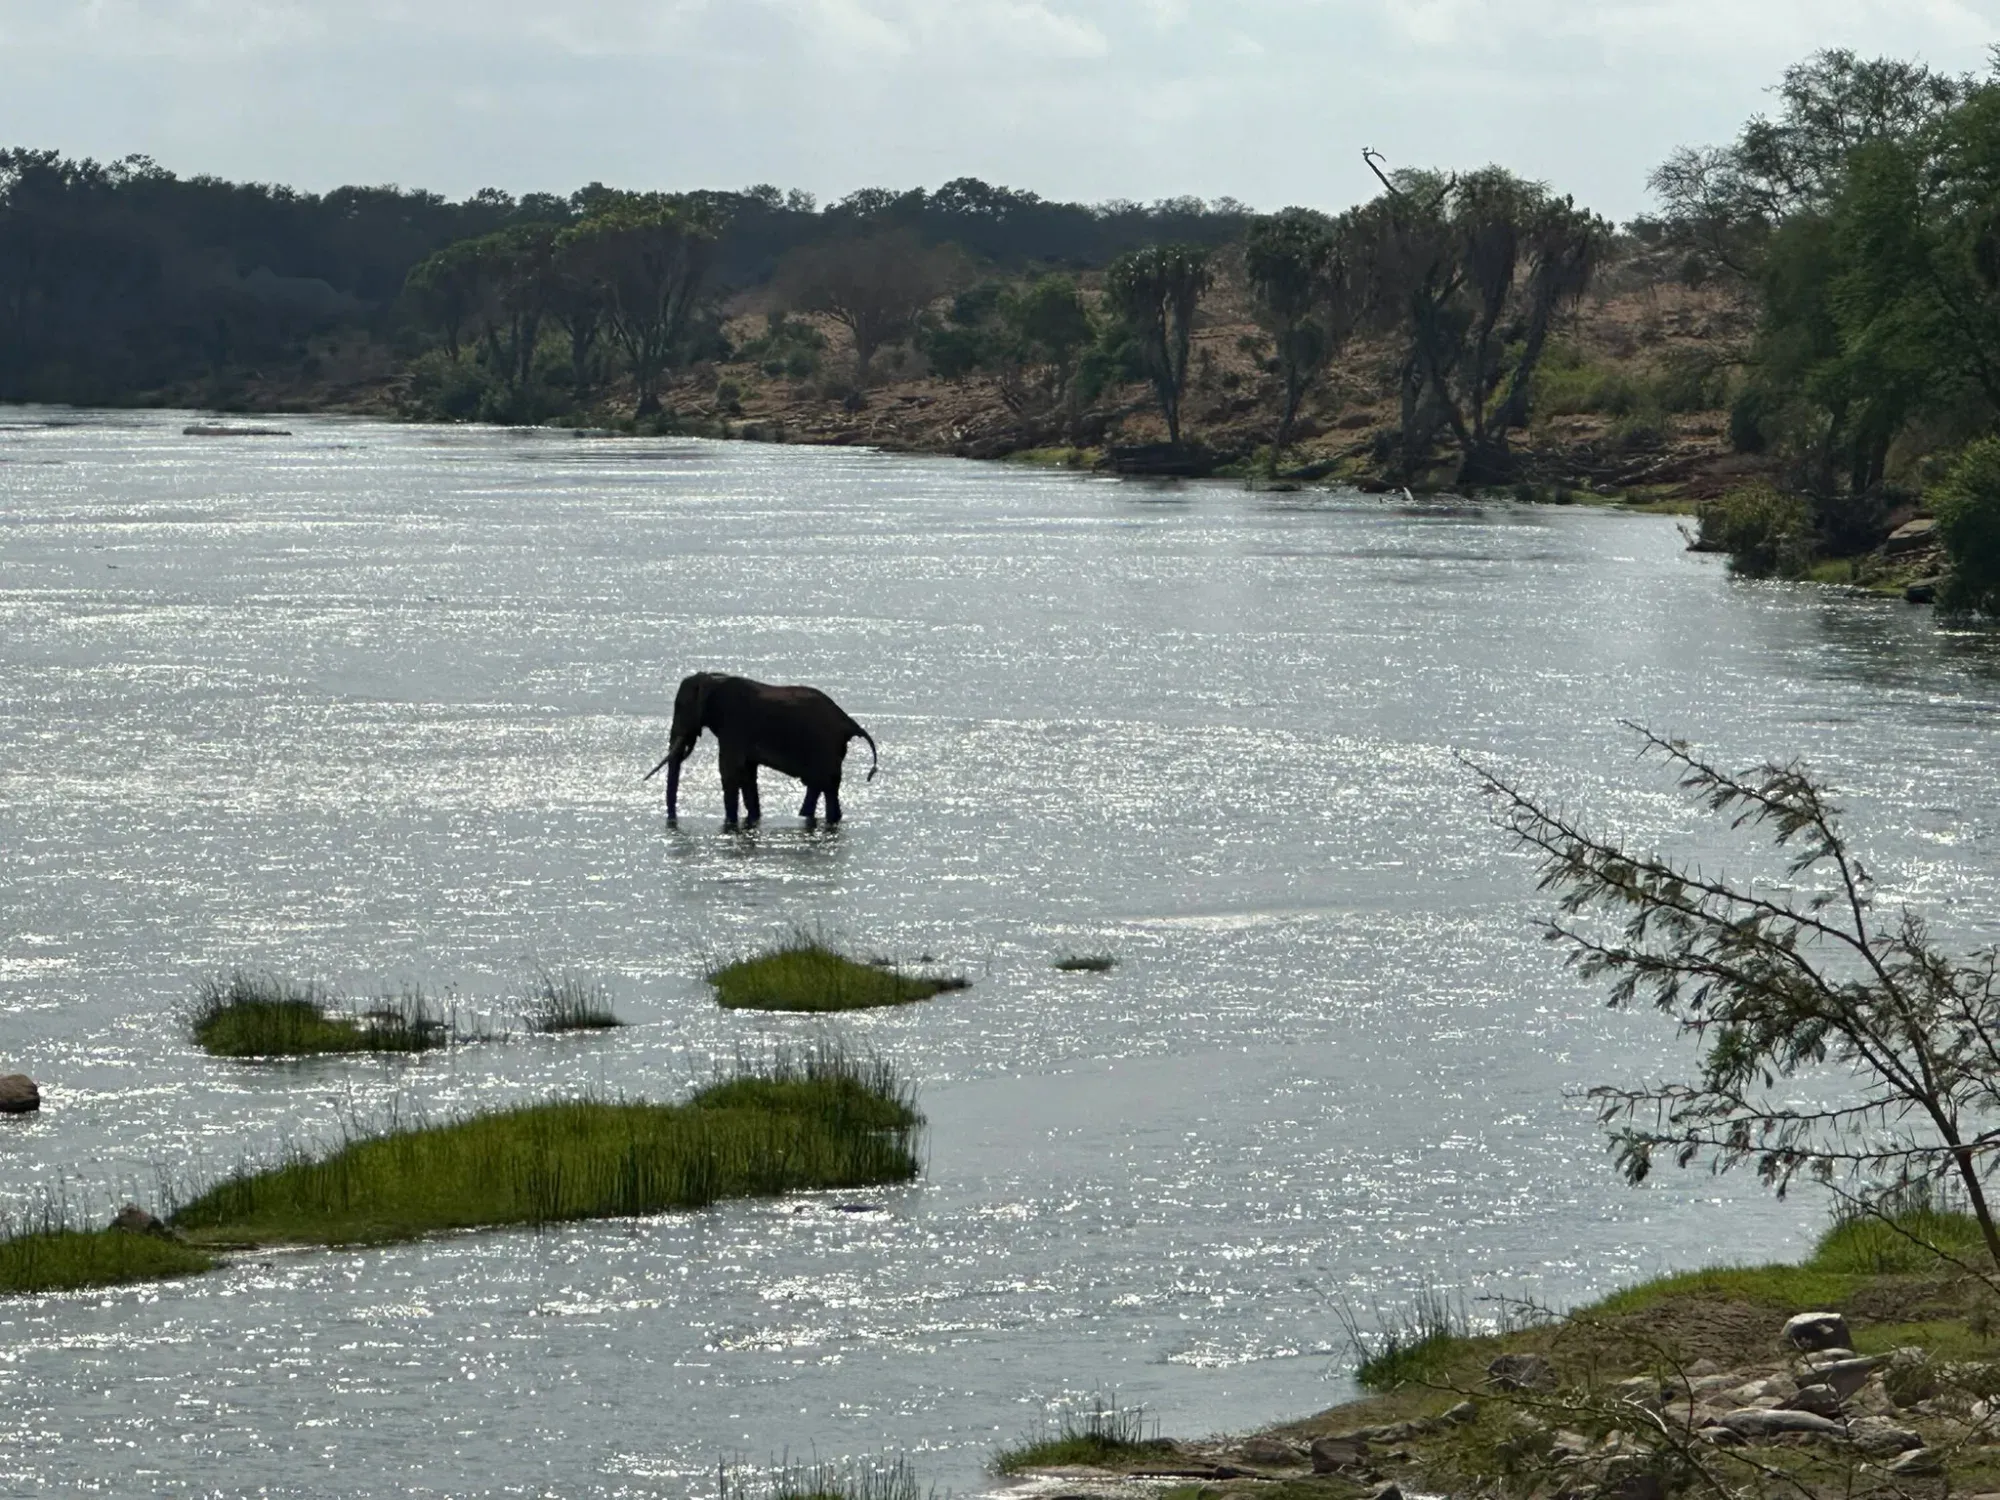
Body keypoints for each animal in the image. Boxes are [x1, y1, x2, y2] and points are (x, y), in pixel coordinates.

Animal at [643, 672, 879, 827]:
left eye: (680, 707)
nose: (672, 819)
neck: (712, 679)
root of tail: (849, 722)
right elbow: (747, 773)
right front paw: (752, 819)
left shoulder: (734, 724)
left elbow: (730, 771)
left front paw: (730, 821)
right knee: (819, 785)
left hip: (824, 747)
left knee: (825, 785)